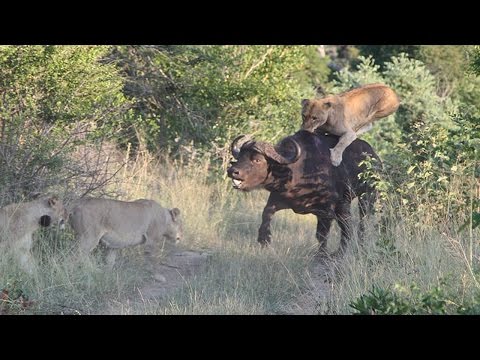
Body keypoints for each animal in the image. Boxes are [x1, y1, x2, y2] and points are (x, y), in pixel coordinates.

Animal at [227, 131, 380, 255]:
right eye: (240, 157)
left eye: (257, 159)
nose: (232, 171)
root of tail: (375, 157)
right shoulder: (279, 198)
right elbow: (266, 212)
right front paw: (264, 238)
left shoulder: (327, 211)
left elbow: (322, 234)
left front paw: (322, 254)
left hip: (367, 197)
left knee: (360, 223)